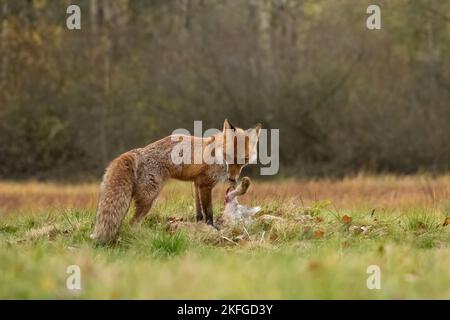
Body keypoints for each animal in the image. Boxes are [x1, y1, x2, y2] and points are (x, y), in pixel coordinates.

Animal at [90, 119, 260, 244]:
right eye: (229, 157)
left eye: (244, 160)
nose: (232, 179)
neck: (216, 153)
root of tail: (139, 151)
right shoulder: (205, 184)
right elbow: (209, 212)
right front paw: (211, 228)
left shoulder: (196, 183)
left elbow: (199, 212)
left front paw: (198, 226)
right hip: (149, 198)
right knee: (132, 224)